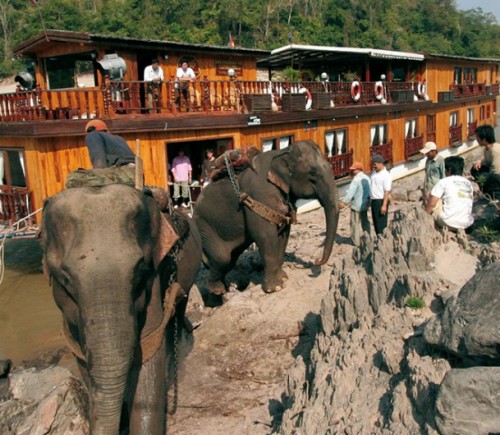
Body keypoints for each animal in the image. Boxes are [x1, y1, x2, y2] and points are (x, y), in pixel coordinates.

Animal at [39, 185, 201, 435]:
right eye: (65, 279)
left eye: (140, 269)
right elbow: (81, 355)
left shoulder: (153, 279)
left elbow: (149, 347)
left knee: (178, 308)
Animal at [192, 141, 340, 294]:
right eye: (313, 173)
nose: (317, 261)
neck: (282, 152)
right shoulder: (258, 195)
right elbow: (266, 235)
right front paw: (275, 288)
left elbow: (283, 234)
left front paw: (283, 278)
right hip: (203, 226)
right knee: (222, 258)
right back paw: (217, 290)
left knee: (229, 260)